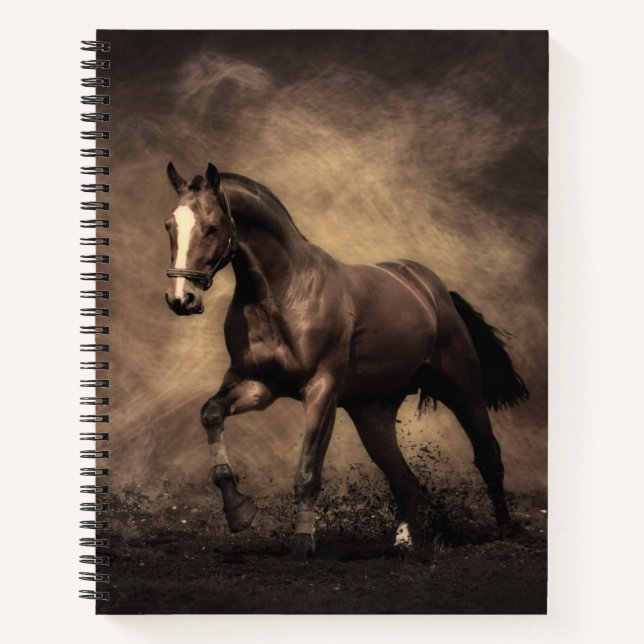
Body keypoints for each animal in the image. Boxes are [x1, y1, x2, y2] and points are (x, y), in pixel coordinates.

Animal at [164, 162, 529, 561]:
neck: (283, 293)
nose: (181, 299)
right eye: (170, 226)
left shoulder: (321, 391)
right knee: (404, 479)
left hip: (462, 390)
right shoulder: (257, 386)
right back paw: (404, 543)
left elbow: (308, 472)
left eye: (212, 227)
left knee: (488, 456)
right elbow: (211, 414)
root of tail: (434, 291)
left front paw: (302, 545)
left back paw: (505, 529)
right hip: (372, 413)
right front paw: (239, 512)